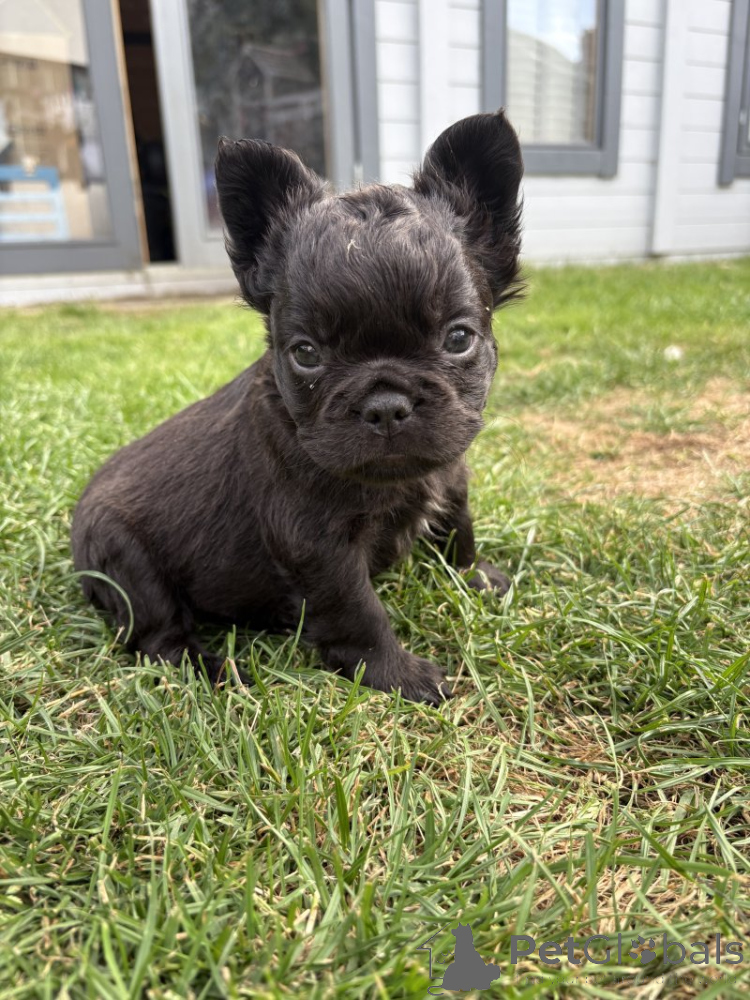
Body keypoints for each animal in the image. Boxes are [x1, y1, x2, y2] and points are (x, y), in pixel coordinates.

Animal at [71, 111, 523, 705]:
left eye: (458, 339)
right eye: (306, 354)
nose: (385, 405)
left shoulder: (449, 479)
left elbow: (457, 531)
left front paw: (475, 578)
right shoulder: (318, 547)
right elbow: (359, 613)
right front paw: (398, 675)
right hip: (130, 567)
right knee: (159, 639)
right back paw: (220, 673)